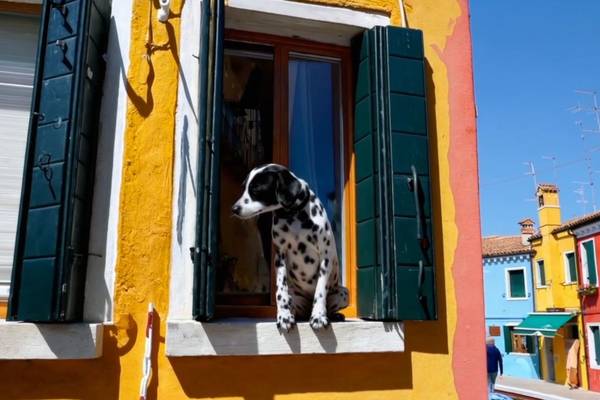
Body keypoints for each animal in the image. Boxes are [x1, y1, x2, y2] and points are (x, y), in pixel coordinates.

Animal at [232, 164, 350, 330]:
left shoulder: (325, 257)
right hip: (295, 297)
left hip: (344, 294)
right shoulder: (280, 257)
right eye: (244, 188)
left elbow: (320, 290)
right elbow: (280, 292)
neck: (293, 215)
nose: (234, 209)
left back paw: (334, 316)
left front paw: (319, 316)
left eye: (256, 189)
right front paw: (284, 317)